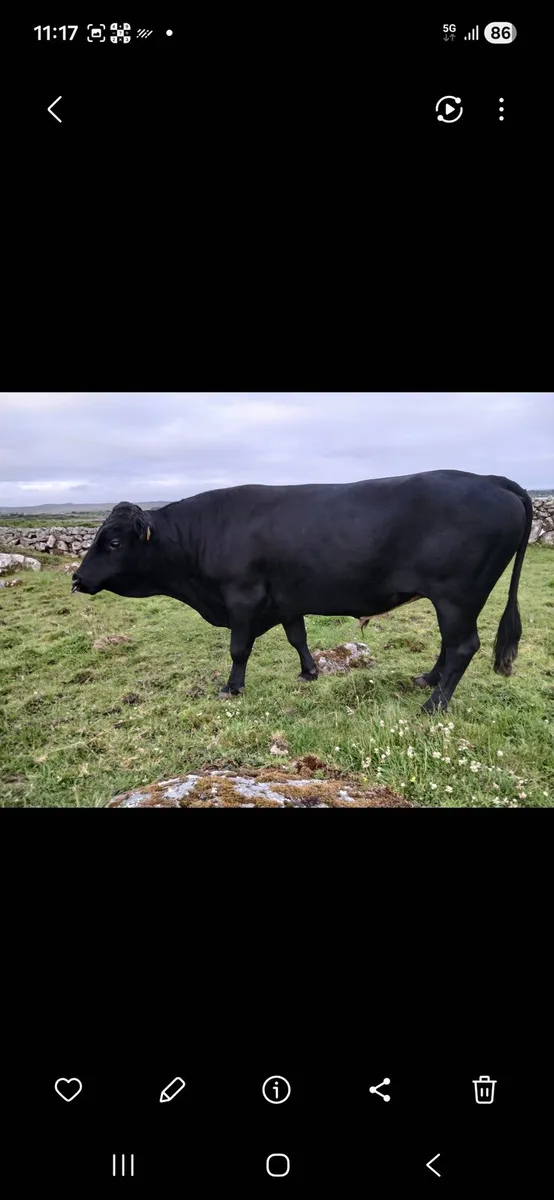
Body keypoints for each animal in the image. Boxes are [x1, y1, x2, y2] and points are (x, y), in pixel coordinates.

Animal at [71, 470, 533, 713]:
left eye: (113, 542)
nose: (76, 579)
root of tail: (491, 479)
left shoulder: (243, 597)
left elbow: (238, 648)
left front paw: (232, 687)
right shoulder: (285, 598)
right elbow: (298, 636)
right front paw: (310, 672)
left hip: (457, 596)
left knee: (463, 646)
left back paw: (434, 703)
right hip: (453, 601)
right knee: (450, 645)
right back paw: (427, 680)